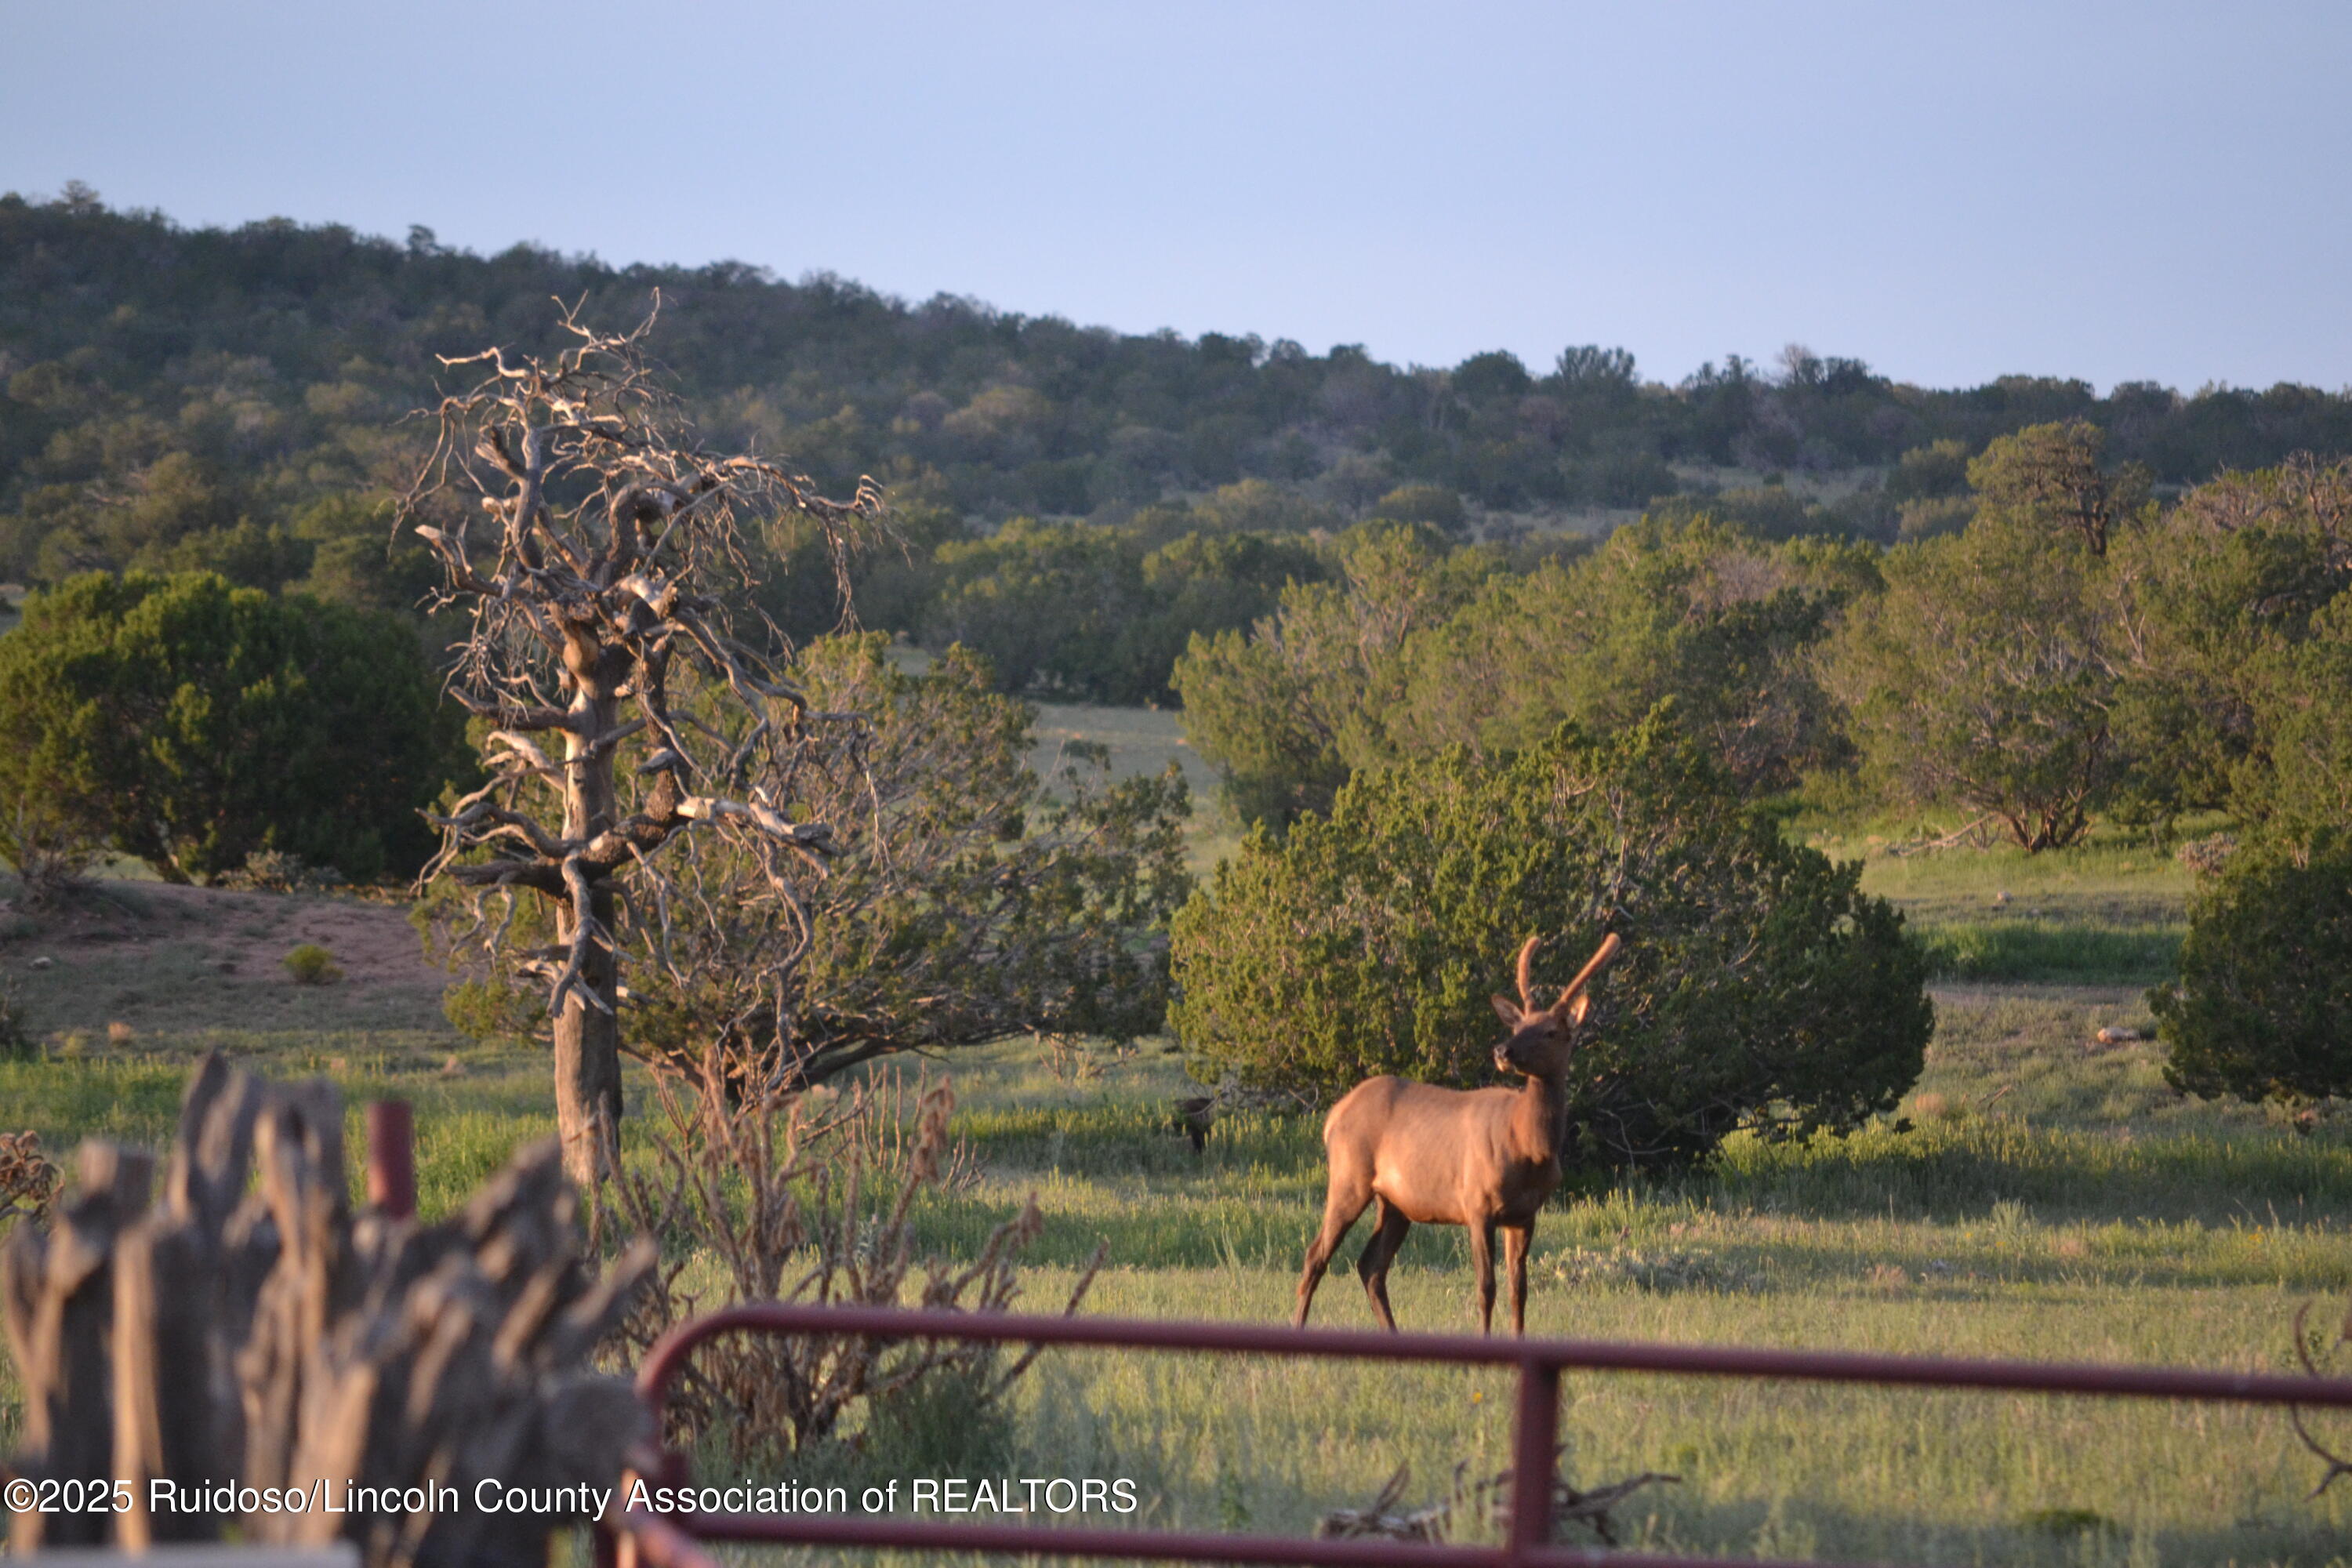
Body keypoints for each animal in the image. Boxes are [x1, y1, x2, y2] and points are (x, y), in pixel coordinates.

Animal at [1298, 931, 1628, 1335]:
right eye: (1517, 1027)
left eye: (1551, 1031)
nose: (1503, 1050)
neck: (1529, 1147)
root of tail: (1333, 1116)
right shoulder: (1477, 1202)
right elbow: (1486, 1287)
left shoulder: (1525, 1214)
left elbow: (1520, 1290)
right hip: (1349, 1176)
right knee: (1316, 1255)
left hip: (1396, 1201)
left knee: (1371, 1265)